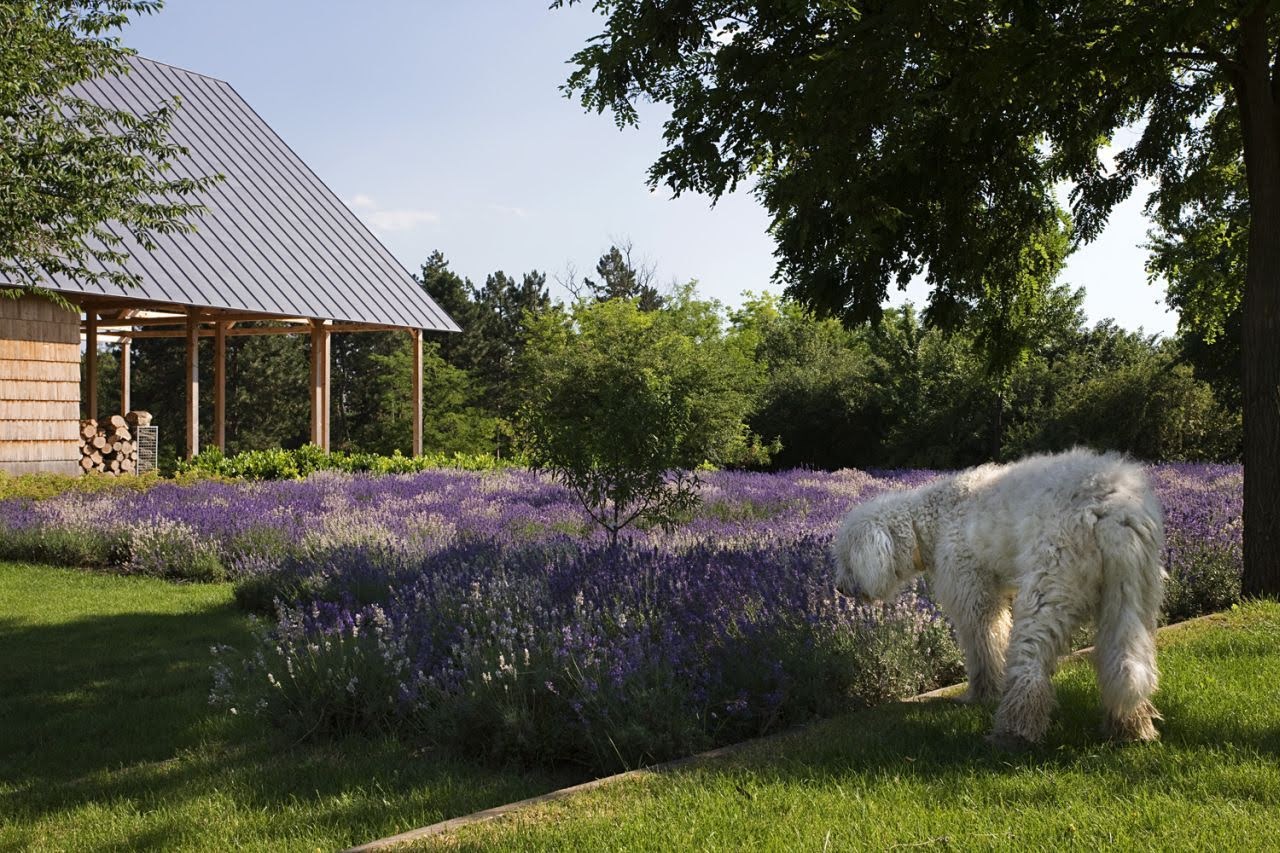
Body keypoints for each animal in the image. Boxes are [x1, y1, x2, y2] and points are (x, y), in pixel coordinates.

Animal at [834, 448, 1167, 747]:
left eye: (846, 558)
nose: (838, 588)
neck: (931, 521)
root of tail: (1113, 508)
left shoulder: (975, 599)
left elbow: (983, 649)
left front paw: (981, 695)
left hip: (1047, 593)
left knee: (1030, 669)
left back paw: (1013, 732)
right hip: (1131, 599)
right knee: (1122, 665)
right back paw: (1130, 727)